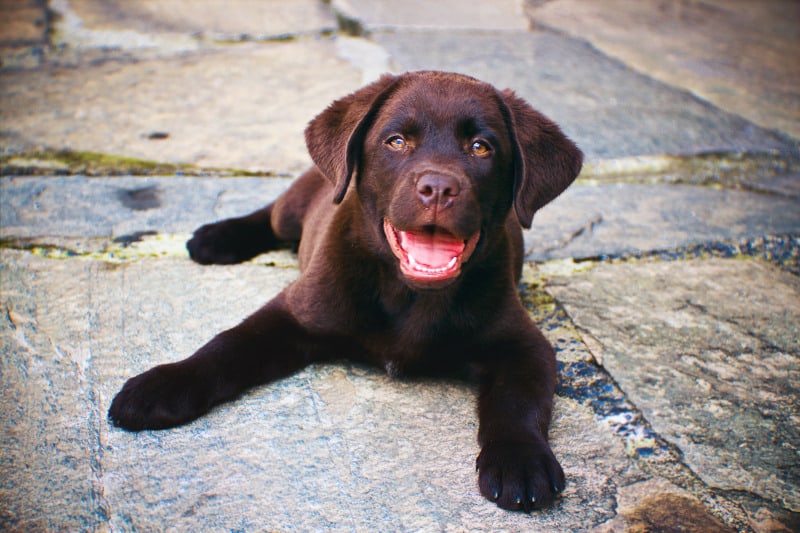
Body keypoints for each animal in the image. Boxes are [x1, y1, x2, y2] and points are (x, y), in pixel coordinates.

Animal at [108, 71, 580, 512]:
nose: (438, 189)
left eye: (482, 147)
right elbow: (226, 346)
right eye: (396, 141)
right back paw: (216, 238)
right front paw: (164, 384)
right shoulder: (294, 312)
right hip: (294, 207)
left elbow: (517, 401)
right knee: (270, 215)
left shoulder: (523, 344)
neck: (411, 295)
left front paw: (521, 460)